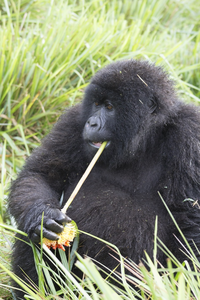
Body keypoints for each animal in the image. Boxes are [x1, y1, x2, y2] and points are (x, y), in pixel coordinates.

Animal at [8, 59, 200, 298]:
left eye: (109, 107)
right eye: (96, 104)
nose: (91, 124)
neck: (145, 138)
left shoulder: (190, 135)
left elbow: (189, 220)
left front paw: (186, 284)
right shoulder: (73, 121)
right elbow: (40, 175)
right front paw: (43, 216)